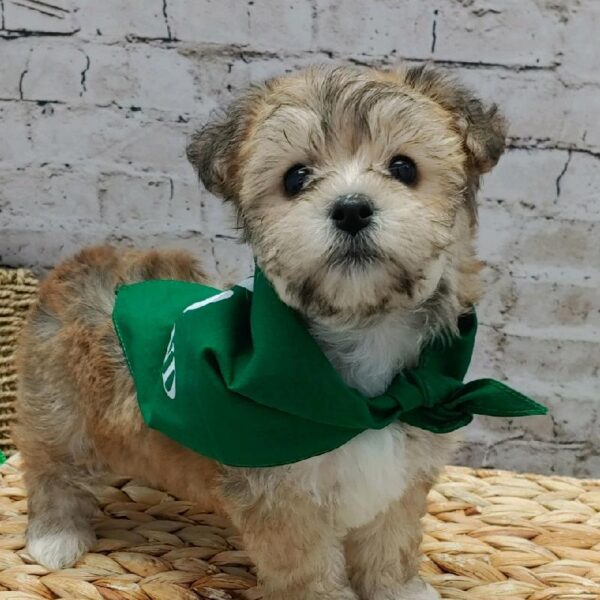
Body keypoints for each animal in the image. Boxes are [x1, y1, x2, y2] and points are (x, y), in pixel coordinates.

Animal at [15, 65, 506, 600]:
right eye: (296, 177)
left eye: (404, 168)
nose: (351, 209)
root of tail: (81, 263)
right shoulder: (284, 498)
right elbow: (308, 567)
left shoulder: (399, 477)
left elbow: (389, 543)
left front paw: (398, 590)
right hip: (61, 413)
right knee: (52, 470)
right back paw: (55, 537)